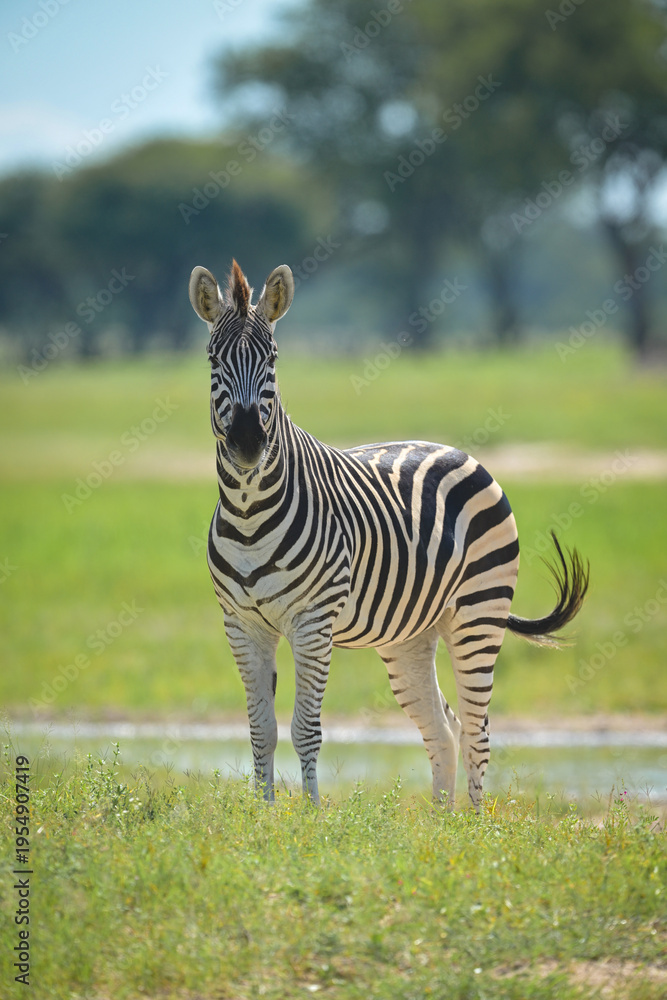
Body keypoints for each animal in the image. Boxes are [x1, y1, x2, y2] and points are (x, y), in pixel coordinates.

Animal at [188, 259, 589, 810]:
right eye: (213, 359)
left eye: (272, 359)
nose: (249, 443)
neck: (249, 514)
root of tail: (457, 451)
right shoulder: (242, 624)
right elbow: (261, 730)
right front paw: (264, 815)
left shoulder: (313, 623)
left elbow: (305, 729)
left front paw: (312, 816)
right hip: (412, 635)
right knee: (444, 729)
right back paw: (442, 824)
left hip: (478, 614)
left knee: (478, 731)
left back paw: (476, 824)